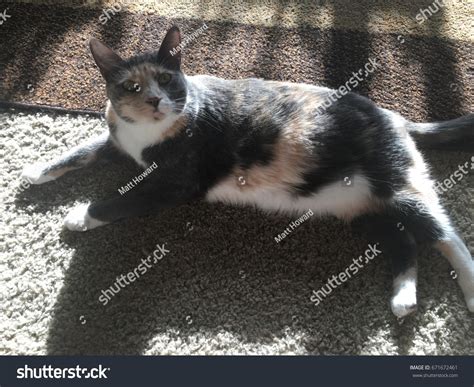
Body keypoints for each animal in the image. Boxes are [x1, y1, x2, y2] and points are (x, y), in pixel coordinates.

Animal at [22, 26, 474, 318]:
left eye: (166, 79)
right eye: (130, 86)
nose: (155, 100)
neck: (146, 134)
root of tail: (396, 117)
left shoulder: (176, 184)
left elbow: (124, 200)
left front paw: (80, 214)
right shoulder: (119, 143)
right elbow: (82, 150)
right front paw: (37, 168)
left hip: (401, 188)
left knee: (446, 235)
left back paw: (467, 290)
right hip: (362, 210)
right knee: (404, 243)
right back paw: (404, 298)